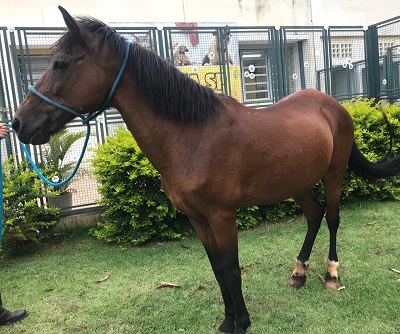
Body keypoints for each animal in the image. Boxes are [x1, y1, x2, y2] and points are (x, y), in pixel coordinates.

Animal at [12, 6, 400, 332]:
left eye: (61, 63)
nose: (19, 123)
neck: (193, 136)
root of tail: (334, 105)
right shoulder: (197, 219)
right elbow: (216, 270)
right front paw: (228, 321)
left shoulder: (221, 216)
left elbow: (231, 270)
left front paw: (241, 323)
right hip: (297, 182)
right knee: (314, 215)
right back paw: (299, 272)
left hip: (333, 175)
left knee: (332, 218)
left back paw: (331, 275)